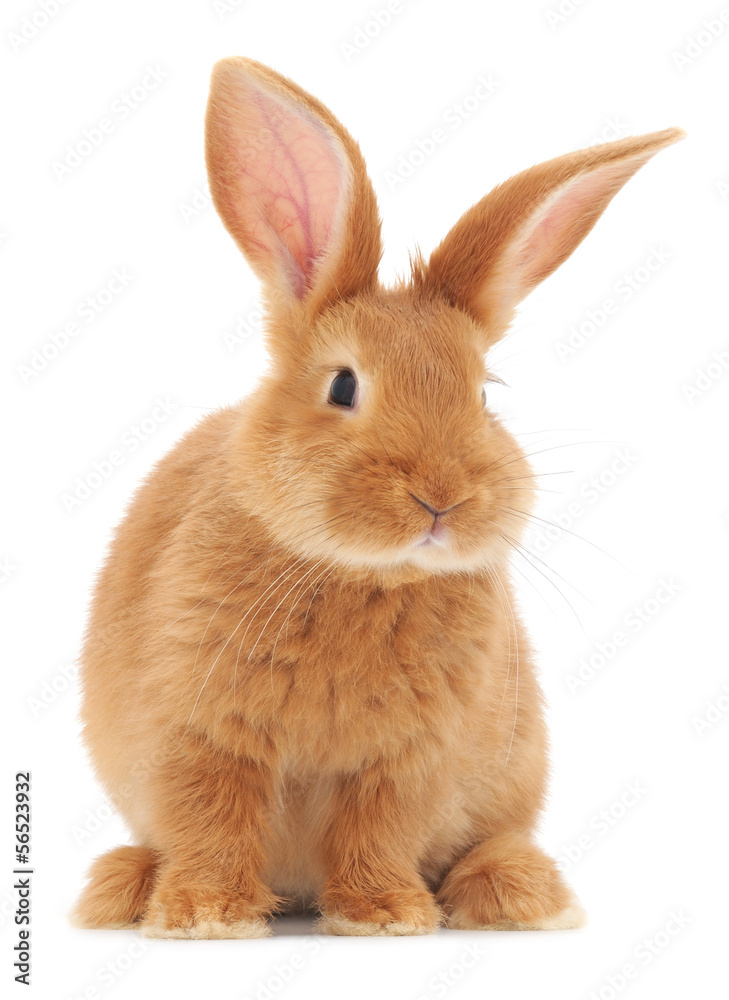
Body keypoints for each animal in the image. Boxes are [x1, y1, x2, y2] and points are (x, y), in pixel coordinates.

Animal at [72, 56, 683, 939]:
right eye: (343, 385)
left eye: (484, 394)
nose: (441, 497)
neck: (360, 572)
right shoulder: (200, 732)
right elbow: (212, 818)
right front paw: (204, 917)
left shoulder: (409, 756)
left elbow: (380, 825)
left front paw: (382, 915)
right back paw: (120, 888)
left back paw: (520, 895)